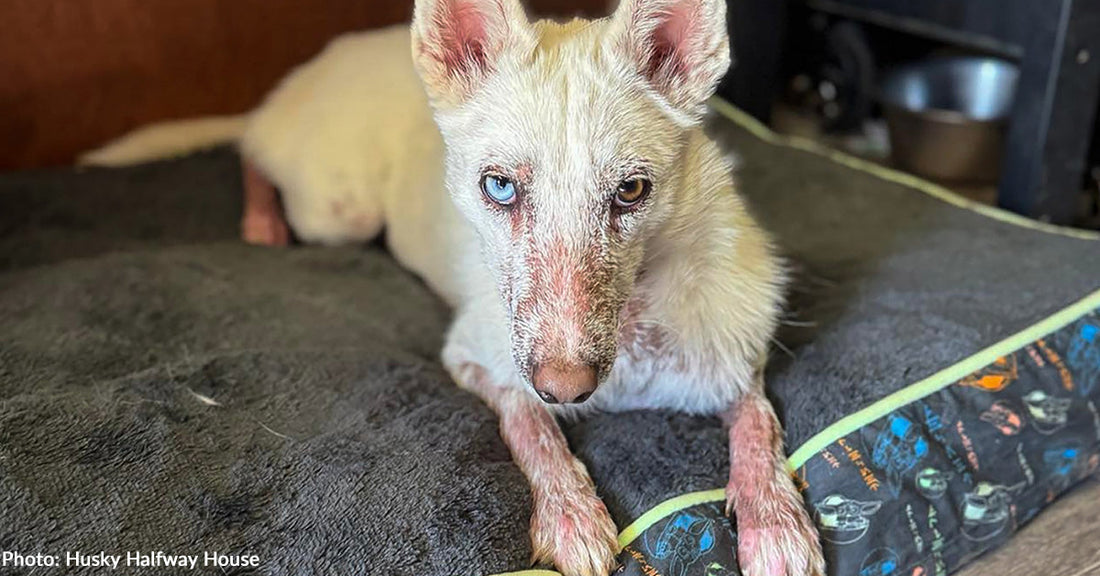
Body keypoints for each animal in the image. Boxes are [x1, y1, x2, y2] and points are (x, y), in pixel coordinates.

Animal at [85, 1, 827, 576]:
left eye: (632, 190)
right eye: (498, 186)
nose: (567, 388)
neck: (636, 330)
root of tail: (325, 61)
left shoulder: (735, 365)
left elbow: (759, 423)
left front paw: (775, 519)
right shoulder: (476, 358)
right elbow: (530, 425)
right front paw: (570, 514)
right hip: (336, 212)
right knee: (249, 153)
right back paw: (259, 219)